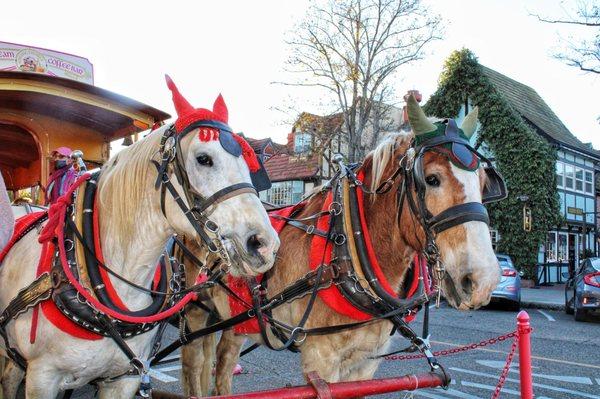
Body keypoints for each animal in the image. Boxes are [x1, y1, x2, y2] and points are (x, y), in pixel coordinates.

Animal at [180, 100, 500, 396]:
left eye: (484, 183)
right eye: (432, 179)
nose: (483, 280)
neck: (347, 250)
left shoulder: (366, 362)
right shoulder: (321, 360)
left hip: (237, 319)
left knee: (222, 361)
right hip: (194, 311)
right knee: (195, 364)